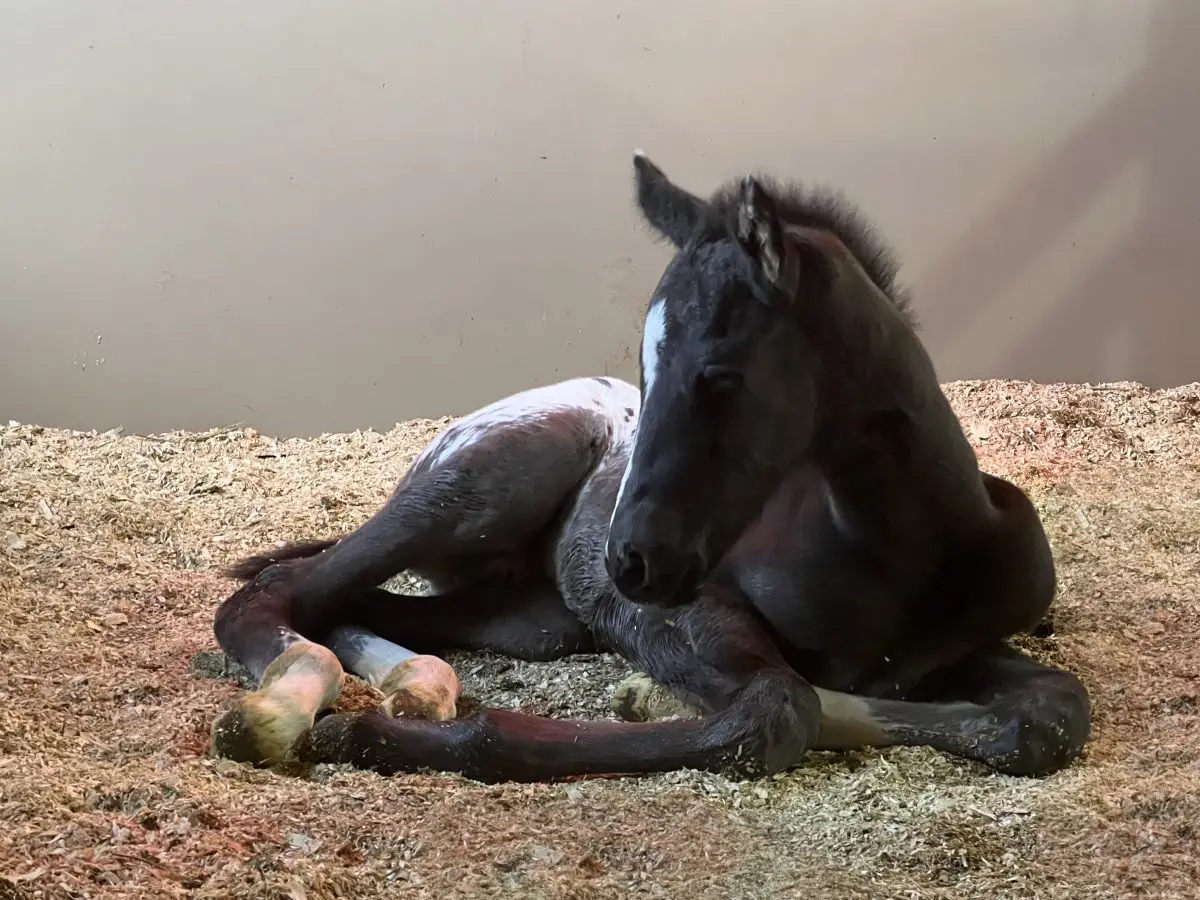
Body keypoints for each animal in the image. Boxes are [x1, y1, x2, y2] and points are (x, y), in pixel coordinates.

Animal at [207, 152, 1092, 783]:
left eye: (719, 376)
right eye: (644, 365)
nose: (627, 561)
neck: (893, 546)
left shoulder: (949, 655)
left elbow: (1049, 714)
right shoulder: (697, 608)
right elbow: (782, 706)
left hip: (529, 617)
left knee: (360, 609)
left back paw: (416, 684)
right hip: (470, 495)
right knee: (273, 594)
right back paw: (278, 713)